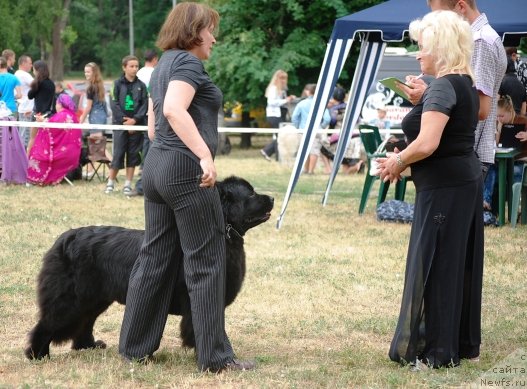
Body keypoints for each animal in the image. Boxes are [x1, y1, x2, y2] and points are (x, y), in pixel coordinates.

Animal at [24, 175, 274, 358]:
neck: (223, 233)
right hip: (71, 297)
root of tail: (64, 238)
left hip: (96, 297)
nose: (271, 198)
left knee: (86, 320)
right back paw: (38, 355)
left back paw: (88, 345)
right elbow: (201, 325)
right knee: (49, 323)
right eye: (251, 194)